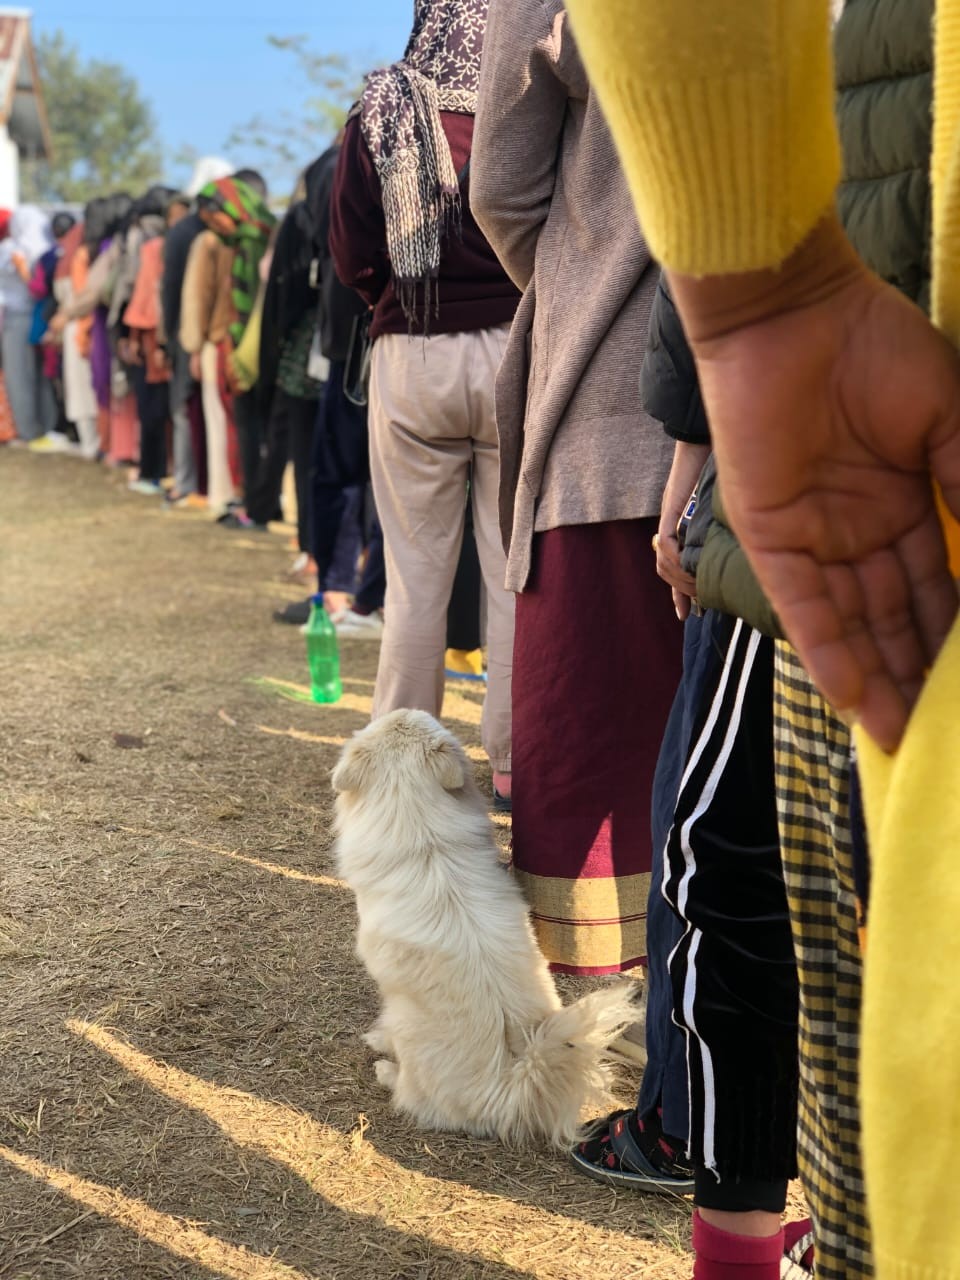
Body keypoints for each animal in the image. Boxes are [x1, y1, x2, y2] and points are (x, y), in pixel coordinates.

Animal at [332, 711, 640, 1152]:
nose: (407, 709)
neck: (423, 833)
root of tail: (509, 1087)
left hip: (406, 1025)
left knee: (413, 1093)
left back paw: (386, 1068)